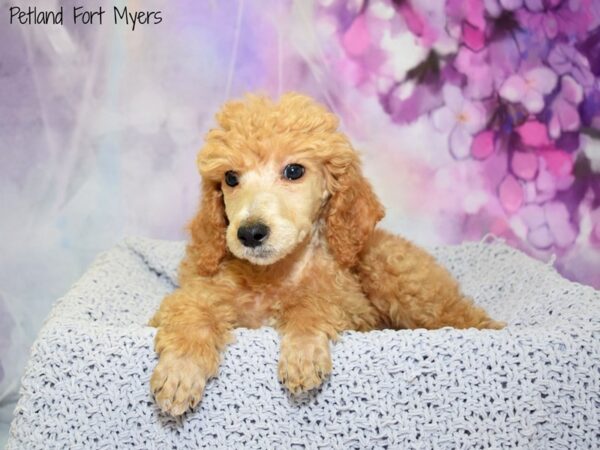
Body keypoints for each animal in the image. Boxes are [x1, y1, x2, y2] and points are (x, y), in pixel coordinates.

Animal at [148, 93, 504, 416]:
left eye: (294, 171)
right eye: (231, 178)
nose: (249, 233)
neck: (272, 274)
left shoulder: (352, 304)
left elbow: (314, 304)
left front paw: (303, 352)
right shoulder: (199, 292)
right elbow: (191, 313)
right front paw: (180, 370)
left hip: (398, 279)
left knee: (463, 316)